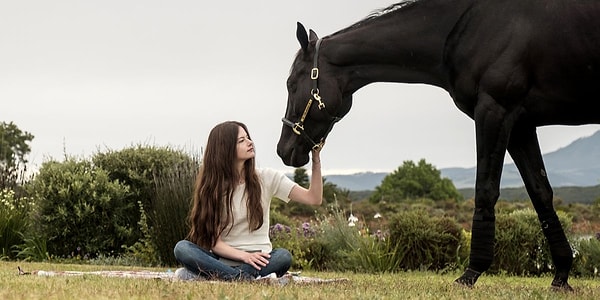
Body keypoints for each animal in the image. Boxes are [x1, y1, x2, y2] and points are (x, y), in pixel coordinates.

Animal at [276, 0, 600, 290]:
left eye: (292, 83)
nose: (283, 149)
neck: (466, 27)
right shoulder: (521, 126)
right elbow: (541, 194)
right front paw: (561, 276)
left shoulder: (494, 111)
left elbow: (486, 190)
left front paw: (471, 273)